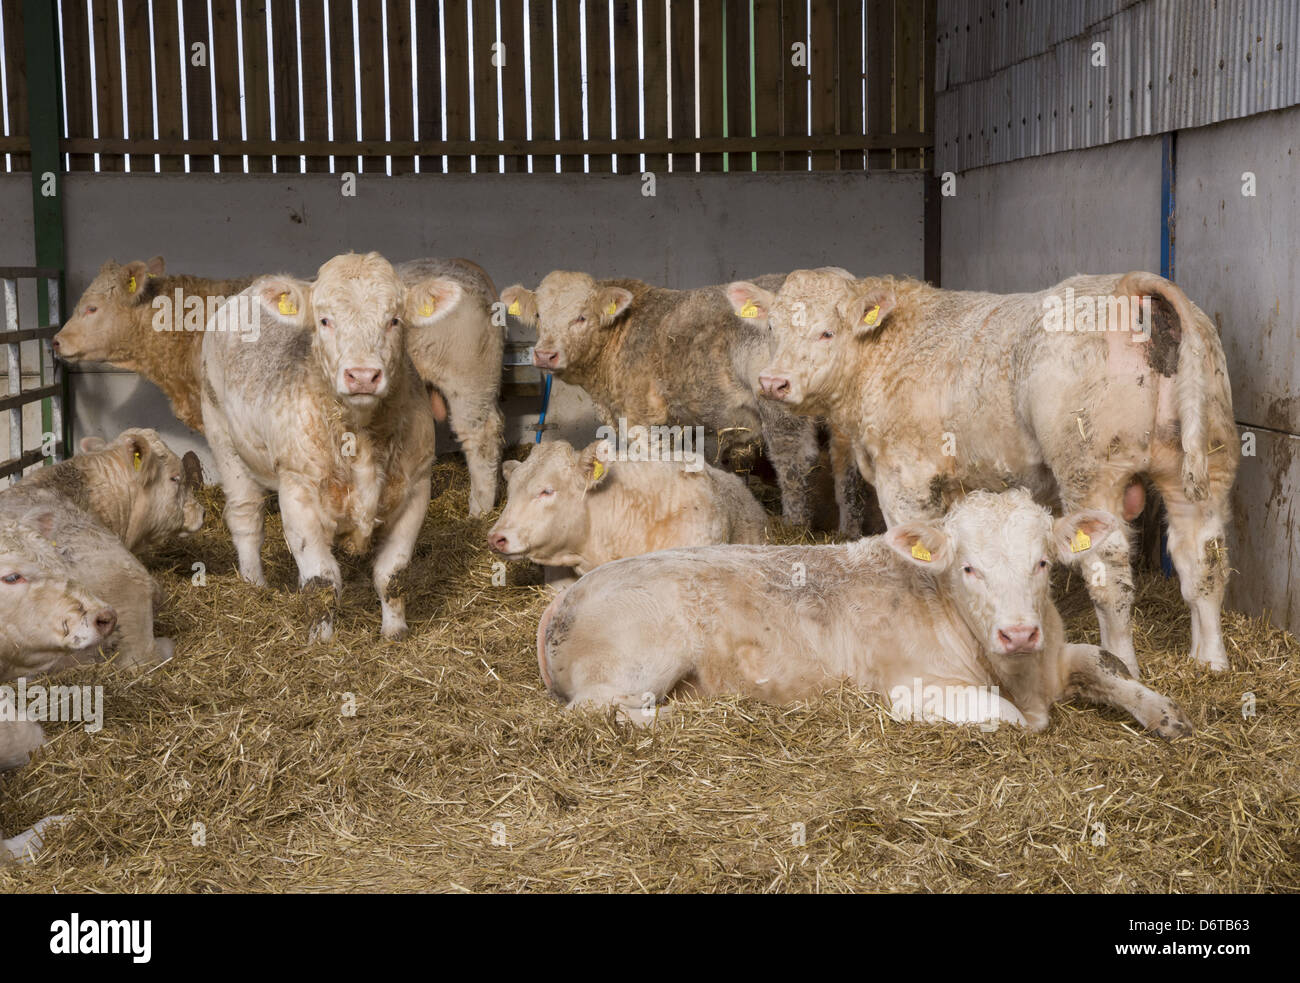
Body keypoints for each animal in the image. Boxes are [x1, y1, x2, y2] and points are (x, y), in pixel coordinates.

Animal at [200, 252, 438, 640]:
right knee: (246, 516)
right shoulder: (299, 493)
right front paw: (321, 640)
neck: (361, 436)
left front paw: (395, 632)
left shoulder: (416, 488)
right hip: (223, 437)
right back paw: (254, 584)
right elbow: (321, 580)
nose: (362, 376)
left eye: (394, 320)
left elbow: (392, 574)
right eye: (325, 320)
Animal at [499, 270, 867, 533]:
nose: (545, 354)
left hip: (781, 408)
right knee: (846, 469)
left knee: (793, 463)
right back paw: (848, 531)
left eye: (581, 317)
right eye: (540, 316)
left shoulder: (639, 419)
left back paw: (794, 527)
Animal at [536, 489, 1192, 738]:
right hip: (639, 658)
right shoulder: (916, 688)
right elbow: (1009, 719)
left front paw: (1166, 714)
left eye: (1042, 562)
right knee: (603, 710)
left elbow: (1105, 662)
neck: (1022, 676)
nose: (1018, 631)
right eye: (969, 568)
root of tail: (570, 594)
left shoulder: (1056, 655)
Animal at [728, 270, 1237, 675]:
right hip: (1204, 471)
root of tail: (1127, 285)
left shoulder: (905, 478)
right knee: (1203, 564)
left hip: (1092, 475)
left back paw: (1121, 663)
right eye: (772, 328)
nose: (773, 382)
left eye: (827, 333)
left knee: (1110, 577)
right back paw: (1209, 660)